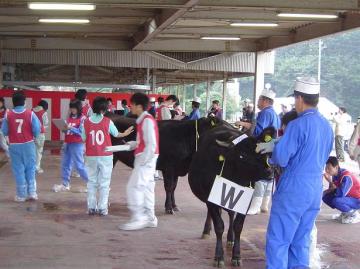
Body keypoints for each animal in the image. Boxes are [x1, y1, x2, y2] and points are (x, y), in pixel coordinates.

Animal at [187, 125, 274, 266]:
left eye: (262, 152)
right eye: (242, 155)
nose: (269, 171)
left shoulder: (246, 200)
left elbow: (238, 226)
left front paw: (237, 256)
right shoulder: (211, 199)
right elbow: (219, 226)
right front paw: (218, 257)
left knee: (231, 214)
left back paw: (230, 238)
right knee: (212, 214)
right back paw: (206, 231)